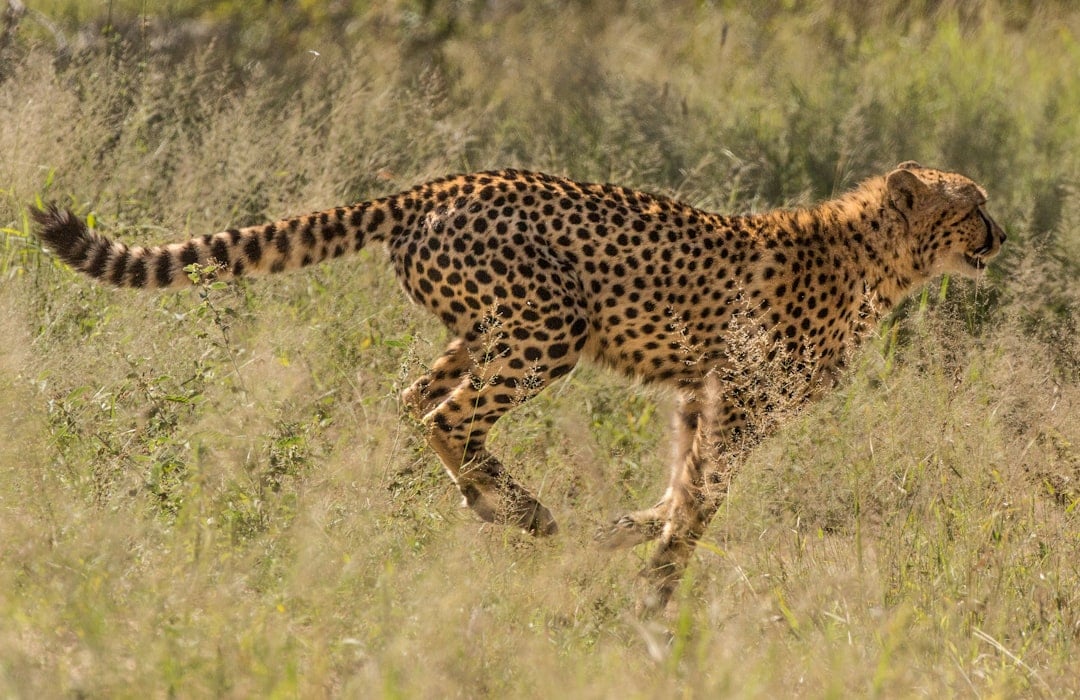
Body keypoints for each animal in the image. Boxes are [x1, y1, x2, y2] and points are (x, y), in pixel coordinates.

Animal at [32, 161, 1005, 613]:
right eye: (973, 204)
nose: (1001, 236)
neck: (881, 258)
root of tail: (444, 180)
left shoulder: (700, 397)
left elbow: (680, 483)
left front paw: (631, 537)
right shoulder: (742, 401)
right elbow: (702, 499)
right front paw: (659, 585)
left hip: (479, 328)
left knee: (413, 399)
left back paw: (492, 503)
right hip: (549, 326)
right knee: (447, 414)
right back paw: (523, 511)